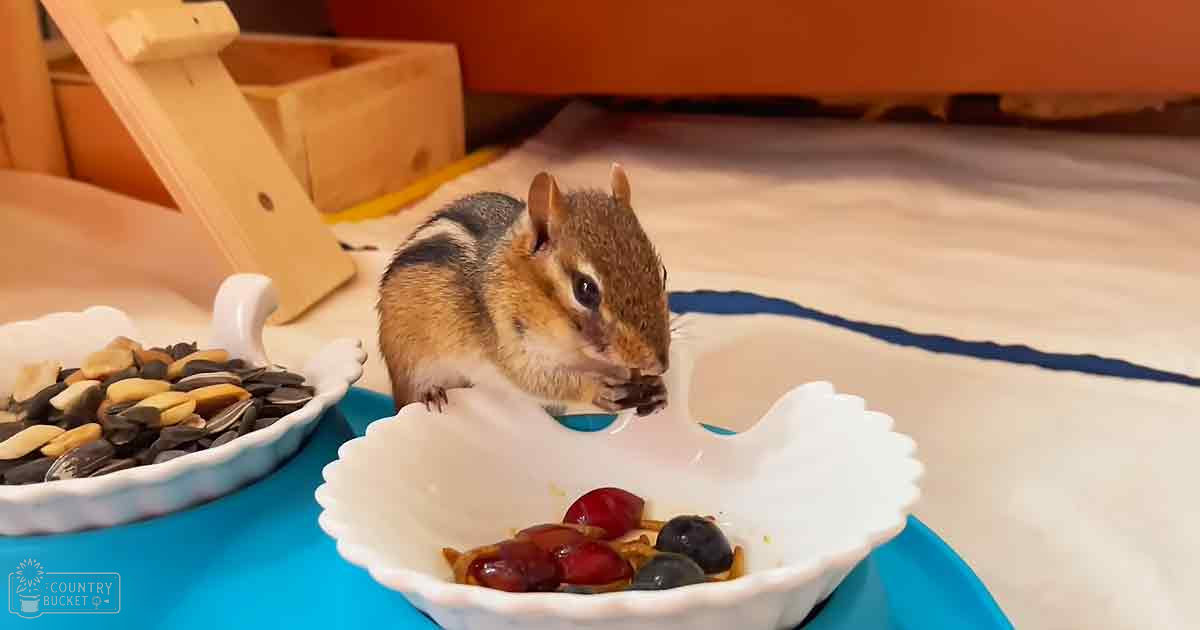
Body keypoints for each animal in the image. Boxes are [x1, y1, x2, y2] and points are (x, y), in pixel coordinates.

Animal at [377, 164, 671, 417]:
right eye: (585, 289)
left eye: (663, 273)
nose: (661, 364)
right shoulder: (508, 339)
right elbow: (536, 380)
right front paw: (596, 391)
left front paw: (657, 387)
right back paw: (431, 393)